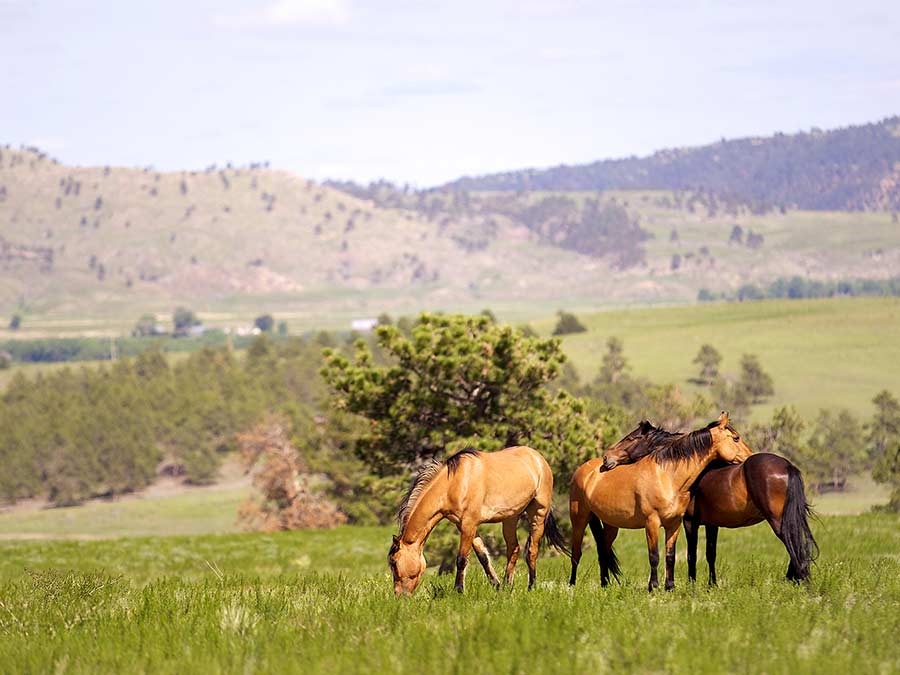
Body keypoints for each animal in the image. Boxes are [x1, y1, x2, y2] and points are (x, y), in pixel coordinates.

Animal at [388, 446, 569, 596]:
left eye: (394, 563)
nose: (399, 596)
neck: (454, 484)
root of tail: (538, 458)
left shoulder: (469, 524)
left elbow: (461, 559)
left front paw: (458, 591)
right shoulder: (466, 526)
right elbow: (483, 557)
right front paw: (496, 585)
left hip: (538, 513)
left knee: (531, 551)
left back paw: (531, 587)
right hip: (510, 518)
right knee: (514, 549)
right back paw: (507, 586)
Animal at [569, 412, 753, 592]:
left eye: (631, 438)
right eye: (736, 438)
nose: (607, 458)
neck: (667, 476)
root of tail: (583, 470)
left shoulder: (675, 524)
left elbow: (670, 556)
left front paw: (670, 587)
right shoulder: (653, 523)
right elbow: (654, 556)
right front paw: (654, 586)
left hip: (611, 525)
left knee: (603, 552)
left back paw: (605, 586)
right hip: (579, 521)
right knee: (576, 554)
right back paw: (572, 586)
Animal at [601, 420, 819, 583]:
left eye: (631, 438)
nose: (606, 457)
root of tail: (788, 466)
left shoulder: (689, 522)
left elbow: (692, 555)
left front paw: (692, 585)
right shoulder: (712, 524)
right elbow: (710, 554)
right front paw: (711, 585)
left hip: (778, 521)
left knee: (794, 546)